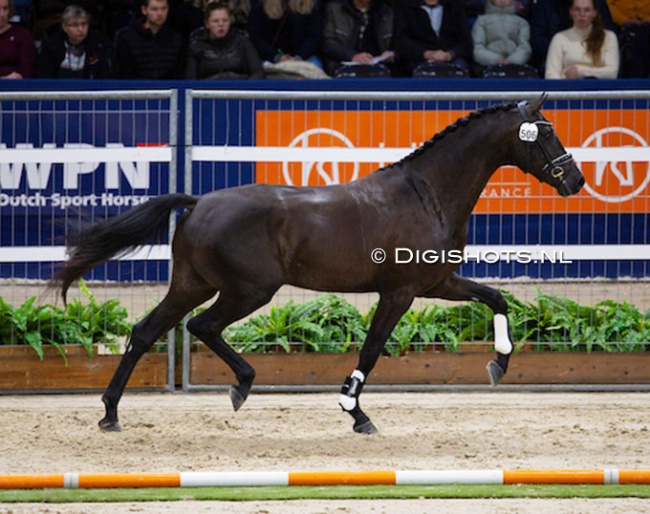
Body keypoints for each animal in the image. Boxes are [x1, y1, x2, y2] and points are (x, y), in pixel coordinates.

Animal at [51, 94, 584, 435]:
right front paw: (355, 410)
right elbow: (372, 349)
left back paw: (111, 413)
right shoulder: (399, 292)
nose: (575, 180)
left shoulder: (438, 282)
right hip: (248, 290)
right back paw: (241, 385)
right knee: (202, 327)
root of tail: (199, 201)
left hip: (192, 283)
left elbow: (497, 298)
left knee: (146, 331)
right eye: (545, 134)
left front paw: (499, 364)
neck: (427, 194)